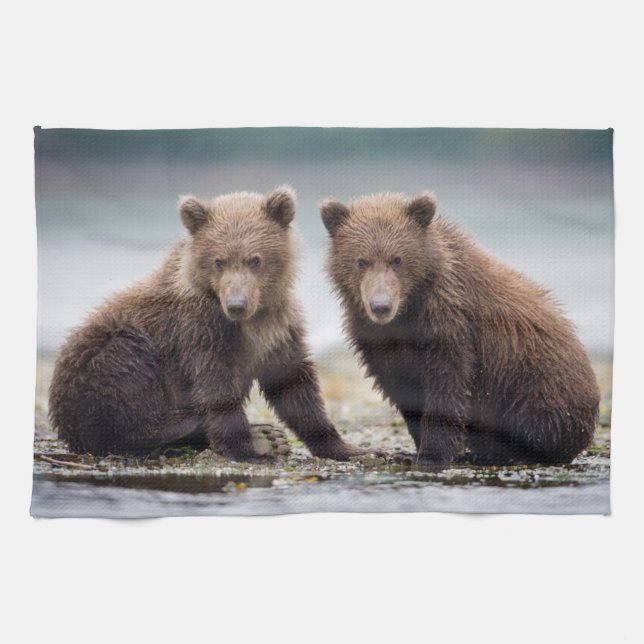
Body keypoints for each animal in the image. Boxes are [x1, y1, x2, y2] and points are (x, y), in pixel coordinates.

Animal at [49, 187, 368, 461]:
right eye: (218, 261)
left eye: (255, 260)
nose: (237, 304)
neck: (249, 320)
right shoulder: (200, 329)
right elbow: (216, 386)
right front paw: (249, 449)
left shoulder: (278, 326)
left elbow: (294, 385)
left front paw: (347, 447)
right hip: (98, 361)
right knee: (126, 372)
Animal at [320, 191, 600, 466]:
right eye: (361, 261)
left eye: (397, 259)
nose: (381, 306)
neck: (408, 311)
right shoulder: (377, 340)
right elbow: (402, 387)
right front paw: (411, 451)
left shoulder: (448, 322)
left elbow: (446, 383)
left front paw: (432, 454)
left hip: (538, 382)